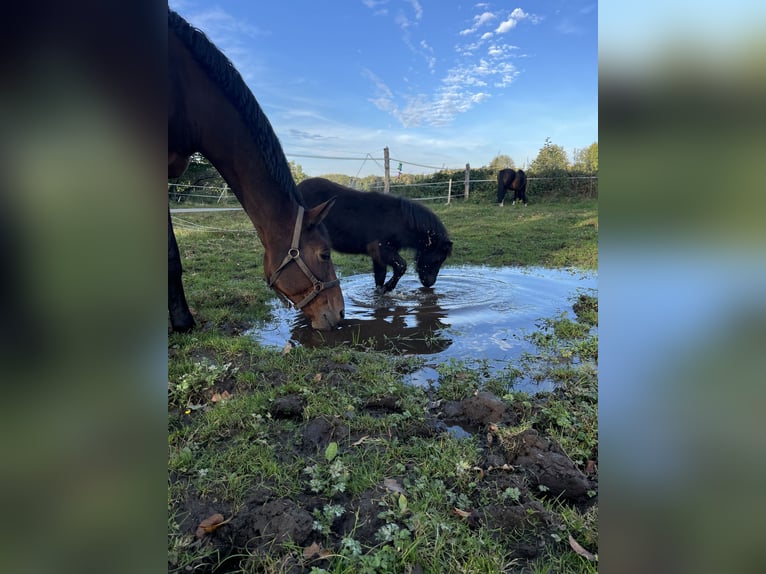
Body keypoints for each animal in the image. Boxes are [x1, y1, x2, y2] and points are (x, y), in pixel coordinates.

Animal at [296, 179, 452, 292]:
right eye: (438, 260)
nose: (429, 283)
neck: (398, 221)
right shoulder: (382, 250)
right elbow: (401, 266)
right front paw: (389, 287)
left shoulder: (379, 256)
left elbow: (380, 278)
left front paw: (382, 291)